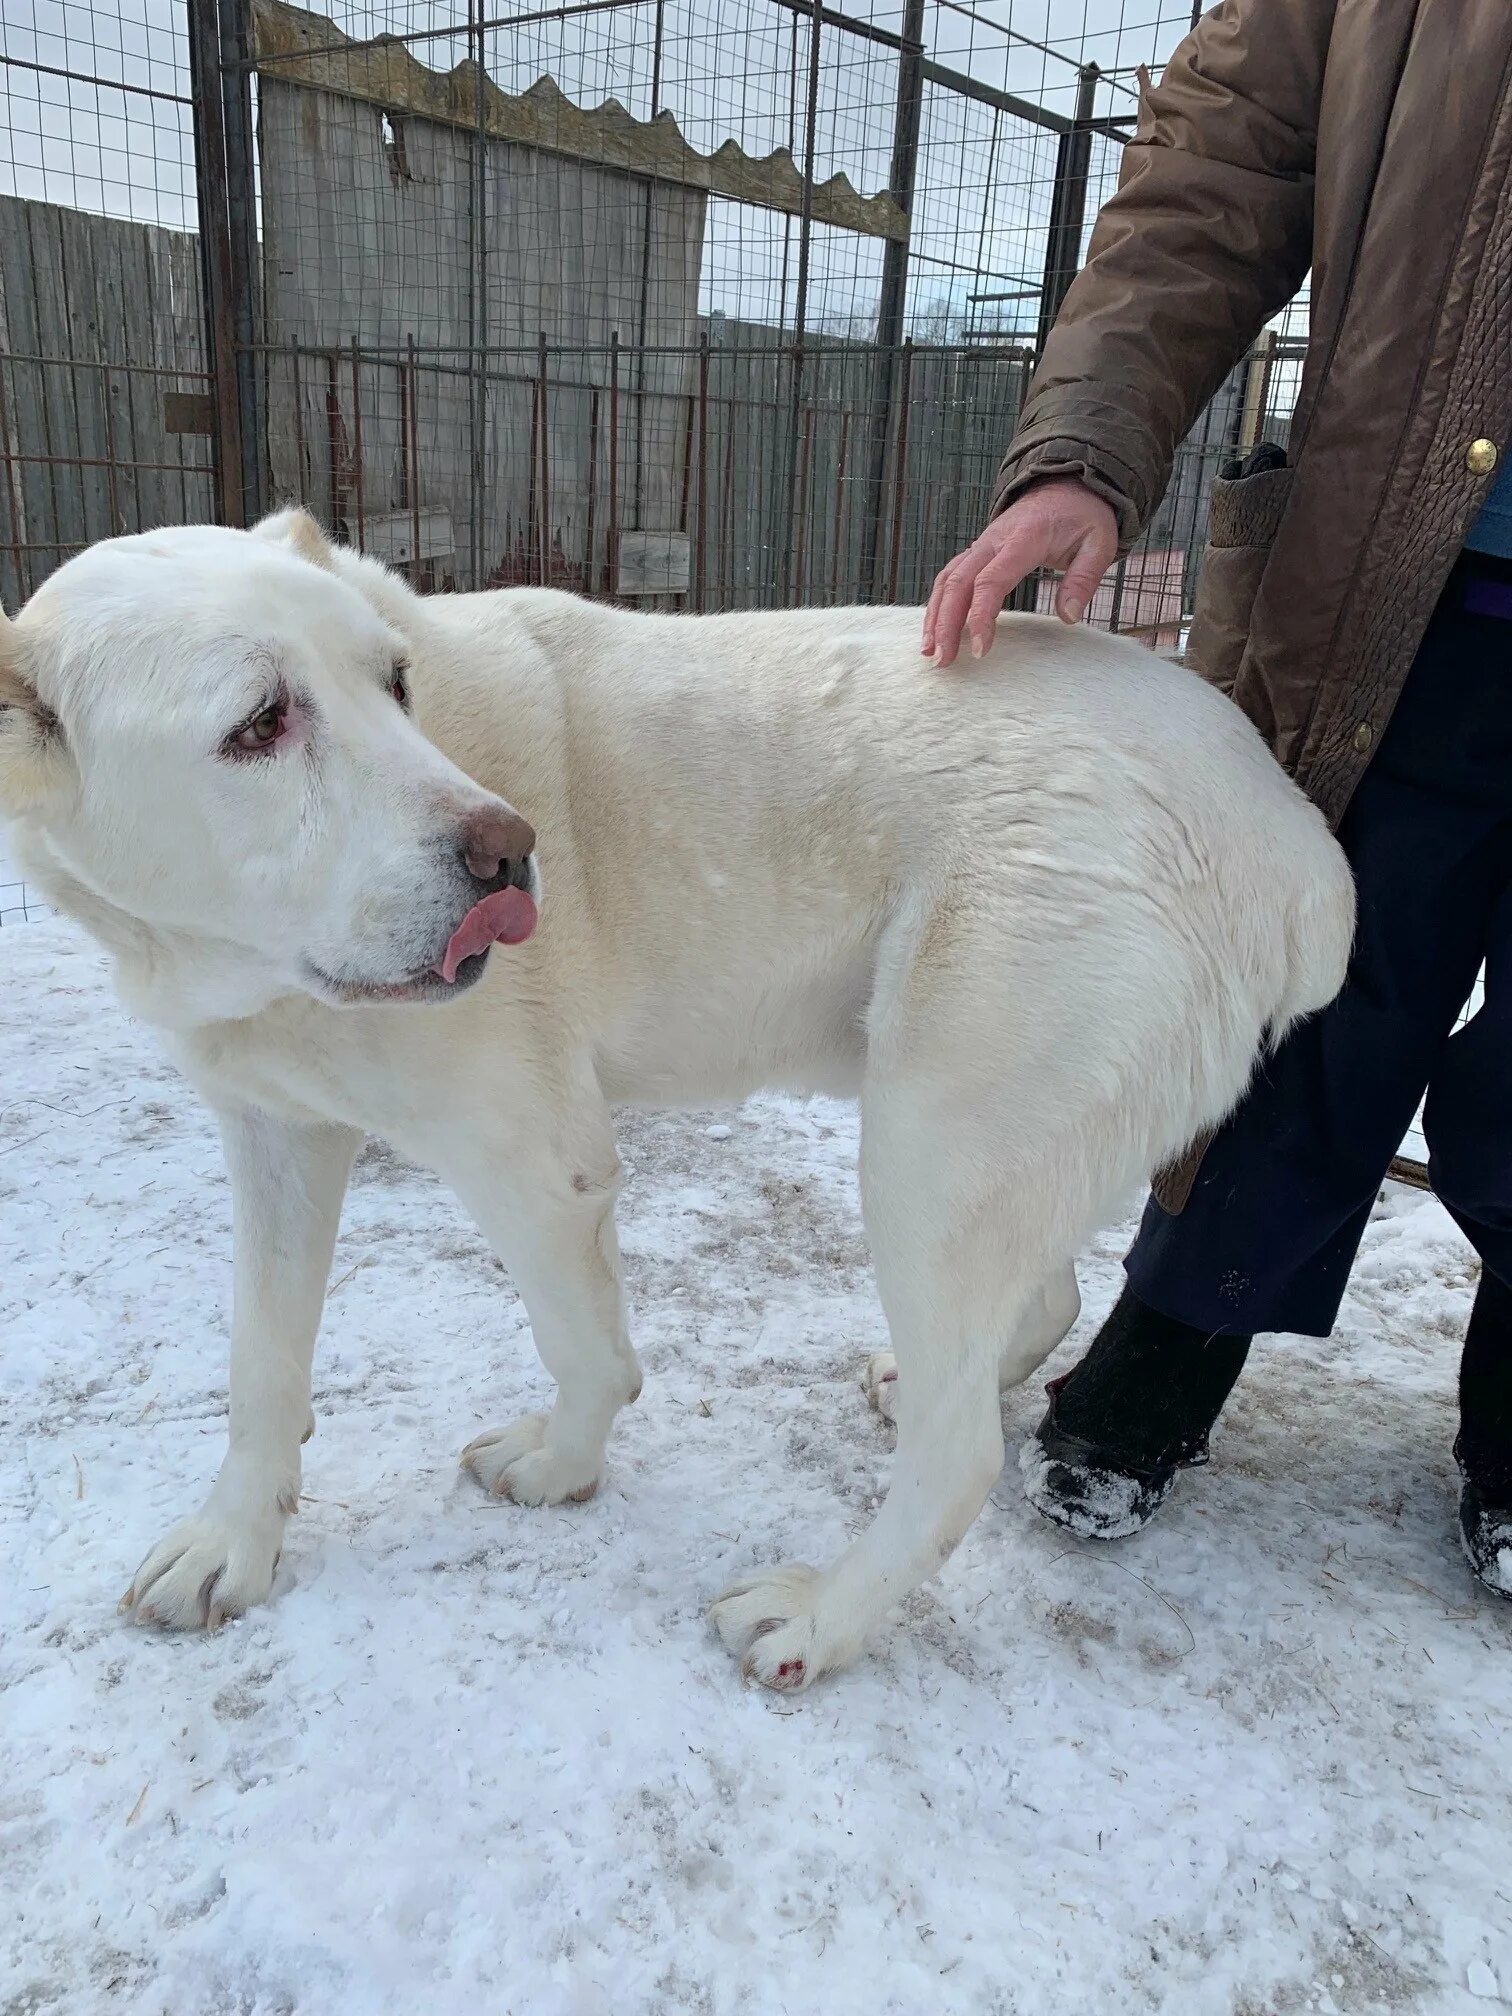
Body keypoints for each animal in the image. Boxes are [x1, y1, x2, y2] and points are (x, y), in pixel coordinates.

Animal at [0, 508, 1354, 1685]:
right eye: (260, 723)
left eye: (393, 683)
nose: (510, 851)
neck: (255, 962)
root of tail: (1286, 827)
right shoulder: (276, 1137)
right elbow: (261, 1360)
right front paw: (235, 1540)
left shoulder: (534, 1161)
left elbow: (586, 1349)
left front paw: (561, 1469)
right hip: (984, 1148)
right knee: (1038, 1305)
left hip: (924, 1147)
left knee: (961, 1449)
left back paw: (821, 1616)